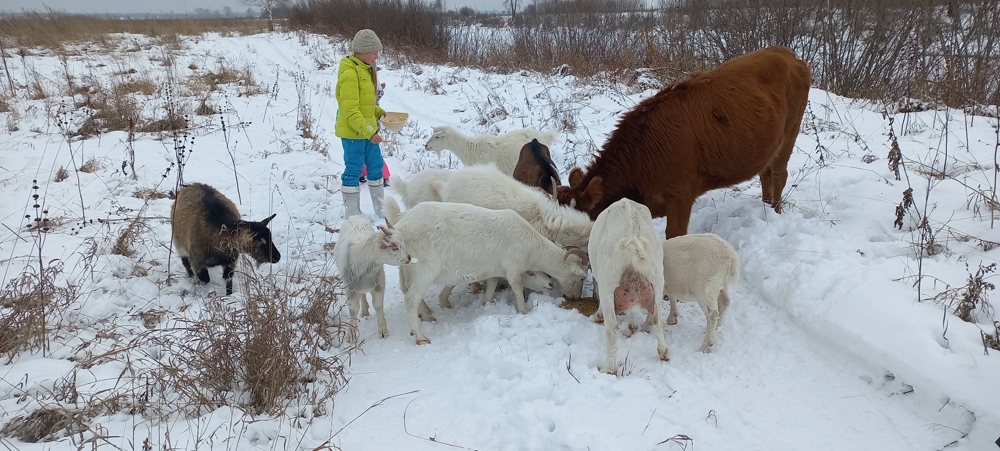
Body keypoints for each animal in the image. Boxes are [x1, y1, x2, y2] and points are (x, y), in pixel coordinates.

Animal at [382, 198, 584, 346]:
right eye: (580, 279)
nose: (575, 297)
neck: (532, 246)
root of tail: (401, 227)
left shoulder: (495, 268)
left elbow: (493, 283)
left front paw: (487, 301)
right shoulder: (513, 266)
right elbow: (517, 286)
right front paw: (524, 310)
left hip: (407, 267)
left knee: (406, 290)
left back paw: (426, 314)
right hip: (424, 268)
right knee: (411, 298)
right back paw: (419, 336)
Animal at [556, 46, 812, 240]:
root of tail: (786, 53)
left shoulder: (681, 194)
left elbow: (675, 235)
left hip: (791, 130)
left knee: (779, 173)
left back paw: (775, 212)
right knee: (765, 173)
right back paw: (766, 208)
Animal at [588, 200, 668, 376]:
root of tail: (633, 239)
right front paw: (632, 327)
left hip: (608, 281)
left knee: (612, 328)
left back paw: (608, 368)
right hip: (657, 279)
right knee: (657, 319)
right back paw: (664, 352)